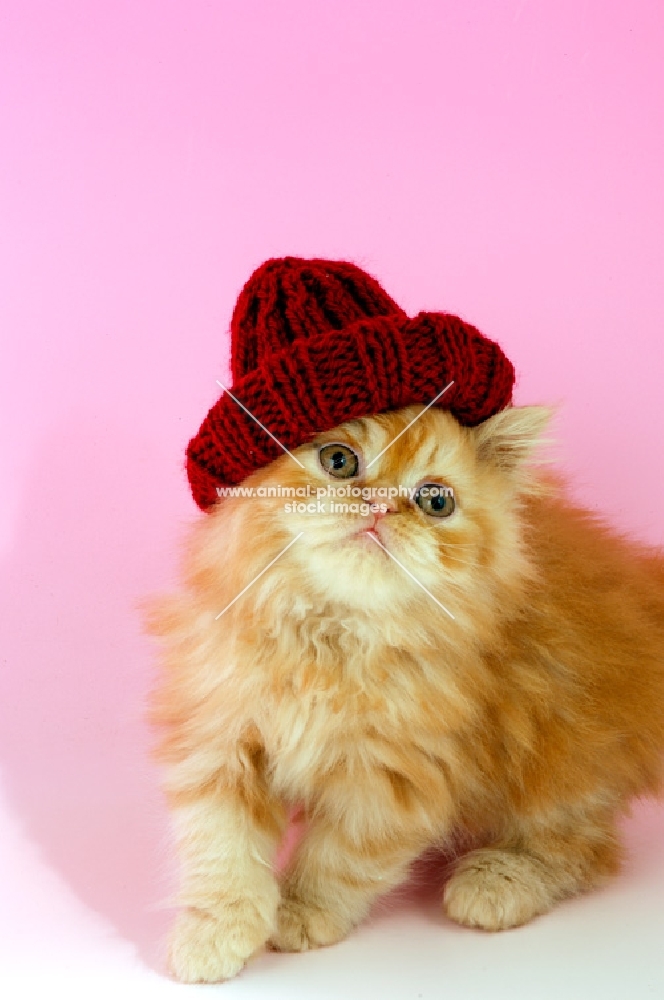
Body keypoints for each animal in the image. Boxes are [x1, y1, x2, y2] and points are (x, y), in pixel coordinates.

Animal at [144, 406, 664, 984]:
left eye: (436, 500)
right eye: (339, 461)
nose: (381, 506)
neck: (334, 637)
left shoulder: (392, 780)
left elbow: (339, 859)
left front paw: (300, 911)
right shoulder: (220, 738)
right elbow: (222, 852)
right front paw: (212, 935)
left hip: (563, 762)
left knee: (585, 851)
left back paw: (494, 882)